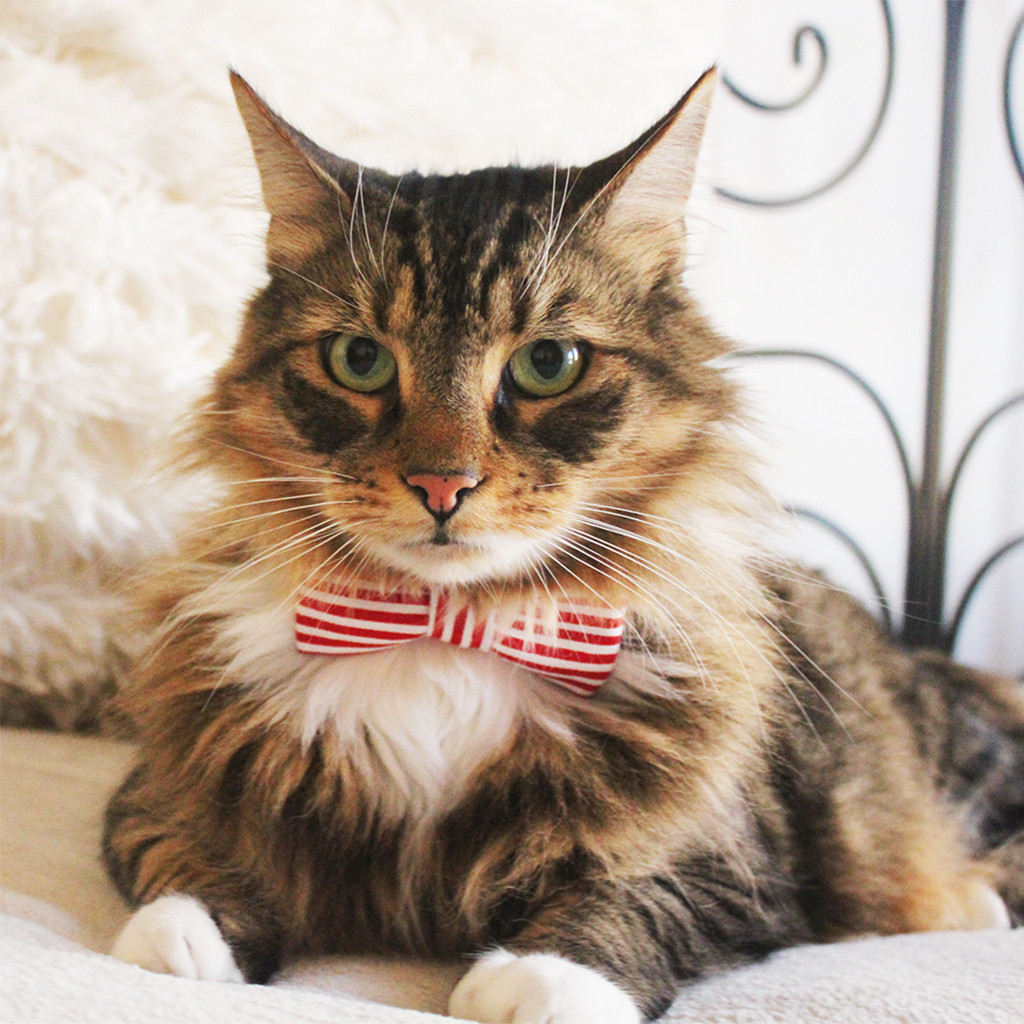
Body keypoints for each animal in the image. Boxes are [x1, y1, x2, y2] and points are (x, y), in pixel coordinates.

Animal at [97, 68, 1024, 1019]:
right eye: (359, 359)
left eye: (549, 365)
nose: (441, 484)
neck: (449, 627)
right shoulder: (166, 778)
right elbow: (188, 853)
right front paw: (186, 938)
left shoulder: (739, 856)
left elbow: (633, 900)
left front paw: (538, 977)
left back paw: (969, 901)